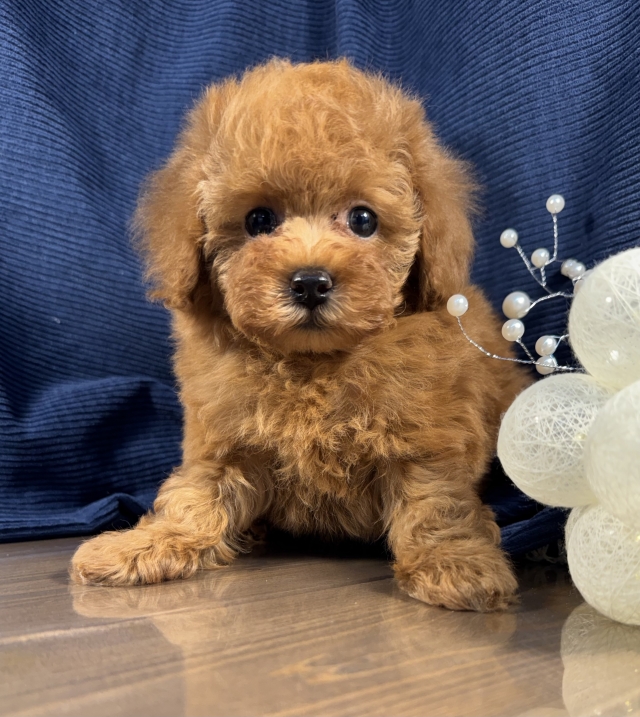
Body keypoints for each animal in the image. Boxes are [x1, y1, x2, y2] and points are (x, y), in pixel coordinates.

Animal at [71, 59, 529, 611]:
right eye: (258, 219)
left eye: (363, 219)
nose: (310, 282)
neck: (313, 364)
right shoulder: (226, 440)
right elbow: (196, 496)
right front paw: (145, 545)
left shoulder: (425, 439)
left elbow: (435, 502)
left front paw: (456, 562)